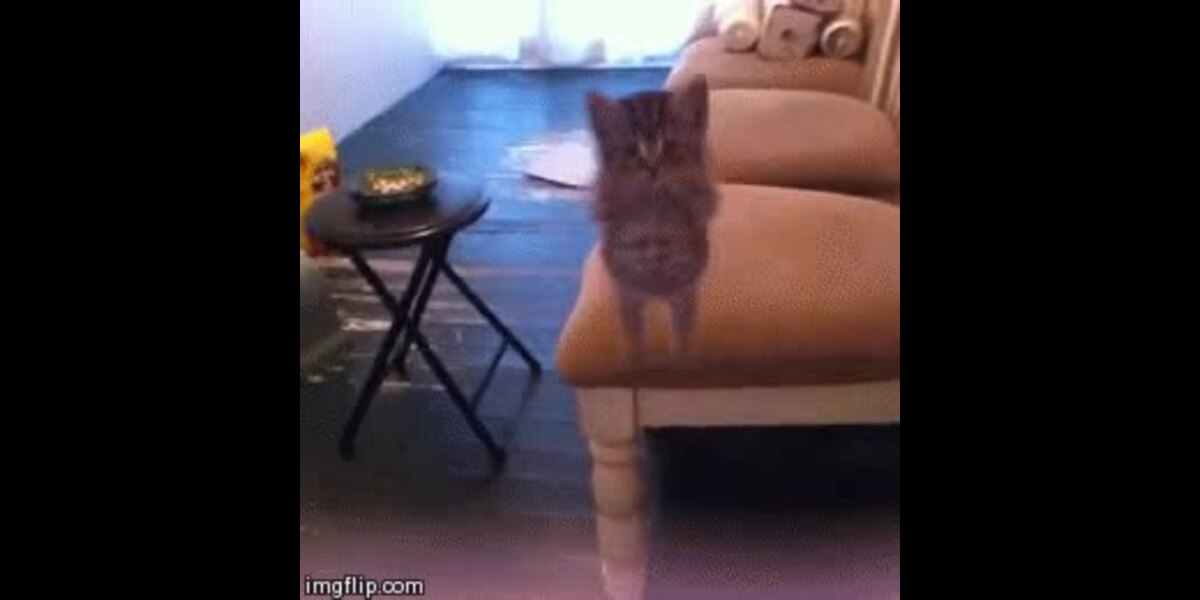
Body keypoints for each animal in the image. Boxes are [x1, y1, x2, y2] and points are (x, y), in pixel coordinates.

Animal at [586, 77, 717, 365]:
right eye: (632, 152)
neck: (654, 211)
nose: (652, 168)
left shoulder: (686, 290)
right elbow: (633, 337)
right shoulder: (626, 291)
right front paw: (635, 361)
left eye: (669, 147)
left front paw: (680, 362)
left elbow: (682, 337)